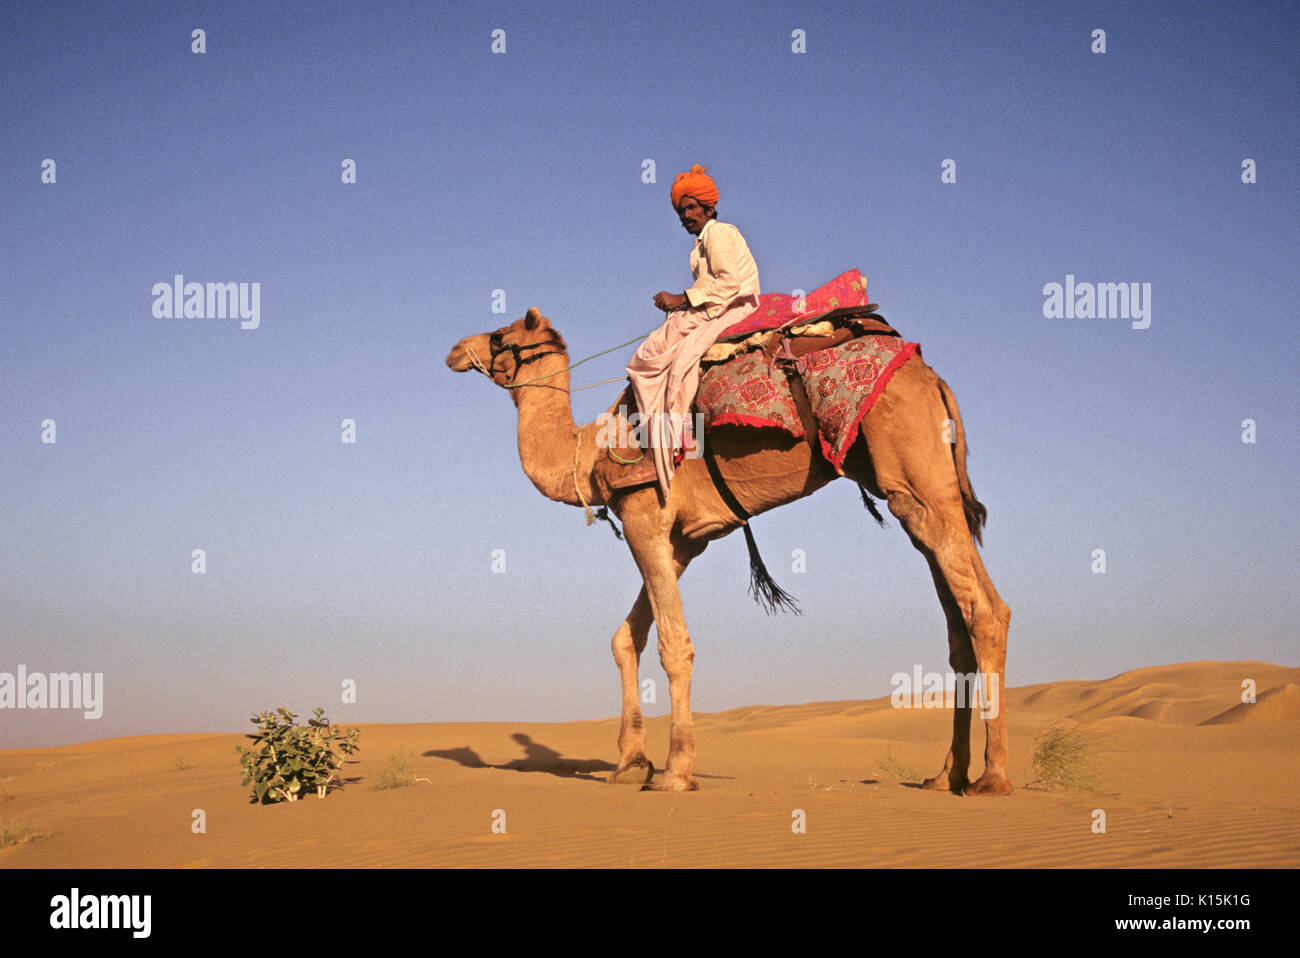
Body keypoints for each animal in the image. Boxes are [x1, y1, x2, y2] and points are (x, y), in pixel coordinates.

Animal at [449, 310, 1013, 795]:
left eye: (499, 335)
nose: (455, 349)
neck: (587, 452)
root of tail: (933, 380)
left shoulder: (644, 515)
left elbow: (673, 645)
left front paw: (675, 771)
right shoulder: (685, 540)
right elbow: (626, 638)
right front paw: (631, 763)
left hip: (915, 476)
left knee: (987, 610)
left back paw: (992, 778)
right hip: (909, 490)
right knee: (959, 624)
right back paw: (946, 775)